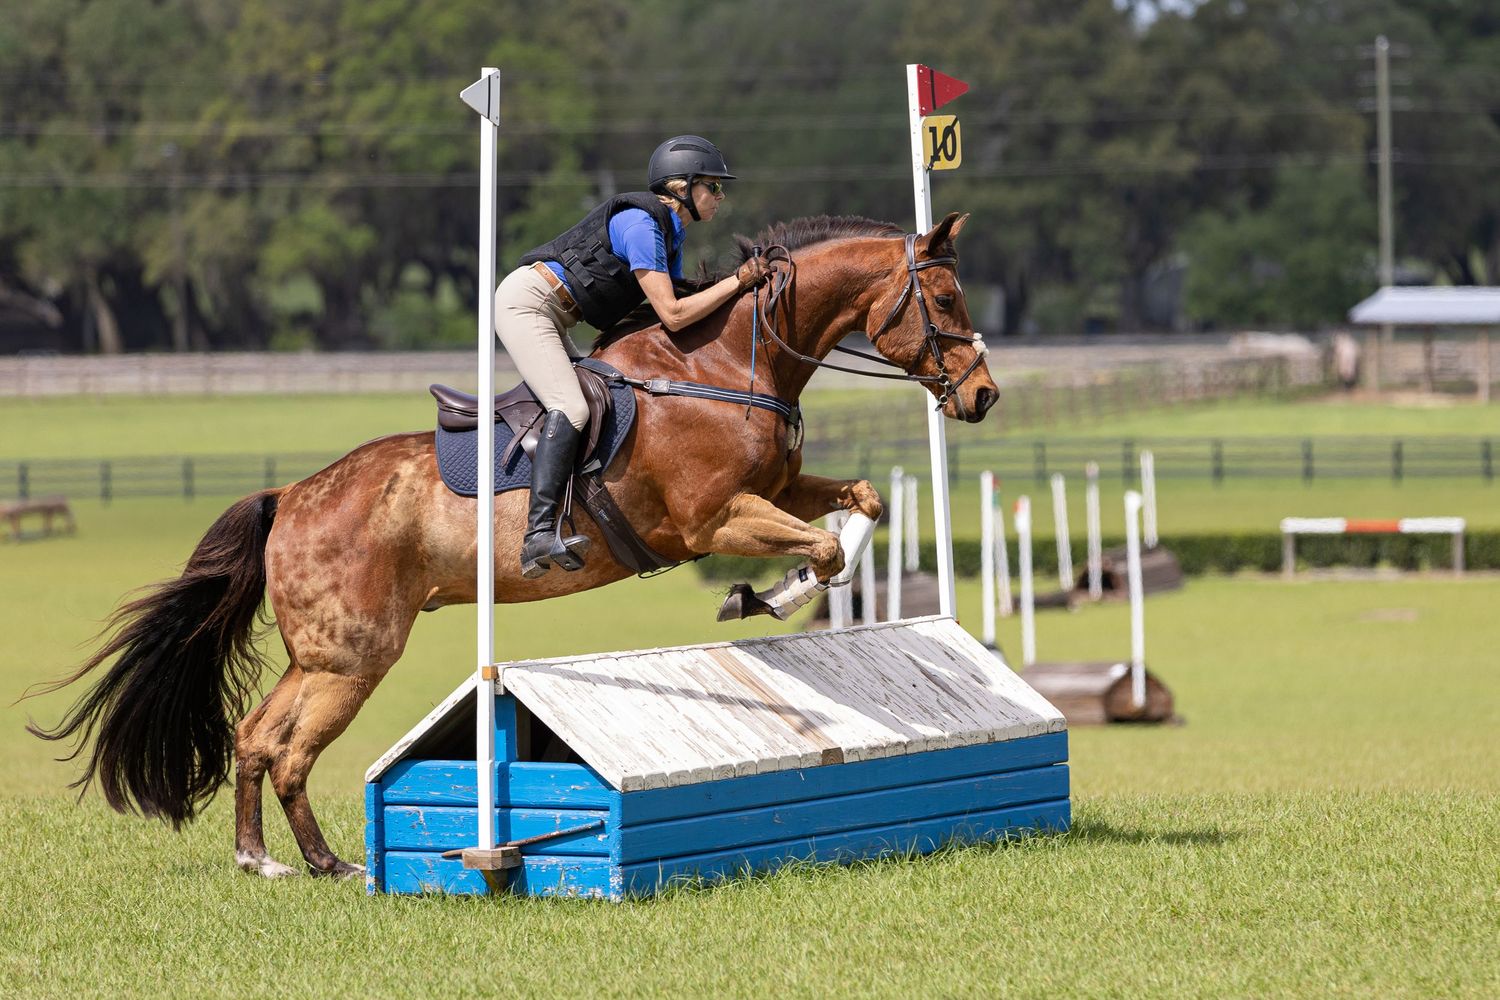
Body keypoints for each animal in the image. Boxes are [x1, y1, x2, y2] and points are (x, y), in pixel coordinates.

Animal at [30, 211, 999, 879]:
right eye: (947, 299)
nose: (984, 395)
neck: (723, 366)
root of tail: (292, 495)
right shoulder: (712, 519)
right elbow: (822, 550)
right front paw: (761, 595)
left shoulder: (777, 490)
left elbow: (861, 504)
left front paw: (780, 586)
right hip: (354, 656)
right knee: (287, 747)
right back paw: (310, 861)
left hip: (328, 656)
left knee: (258, 737)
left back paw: (284, 861)